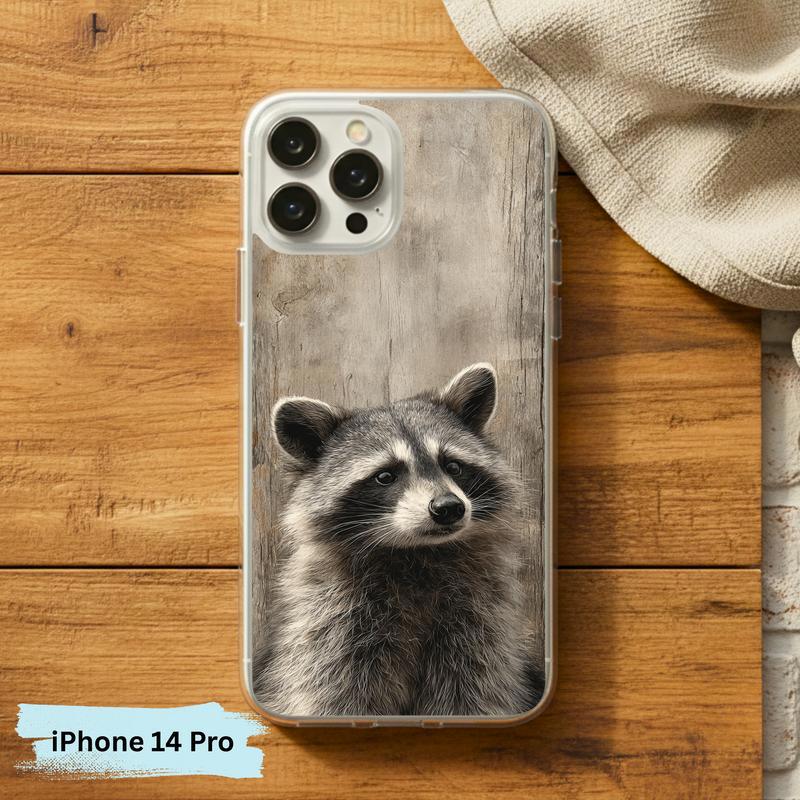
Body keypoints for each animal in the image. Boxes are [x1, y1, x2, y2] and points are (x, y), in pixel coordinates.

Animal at [253, 363, 543, 718]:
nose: (448, 508)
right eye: (385, 476)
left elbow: (474, 692)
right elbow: (332, 695)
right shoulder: (331, 629)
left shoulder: (480, 624)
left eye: (453, 465)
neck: (417, 553)